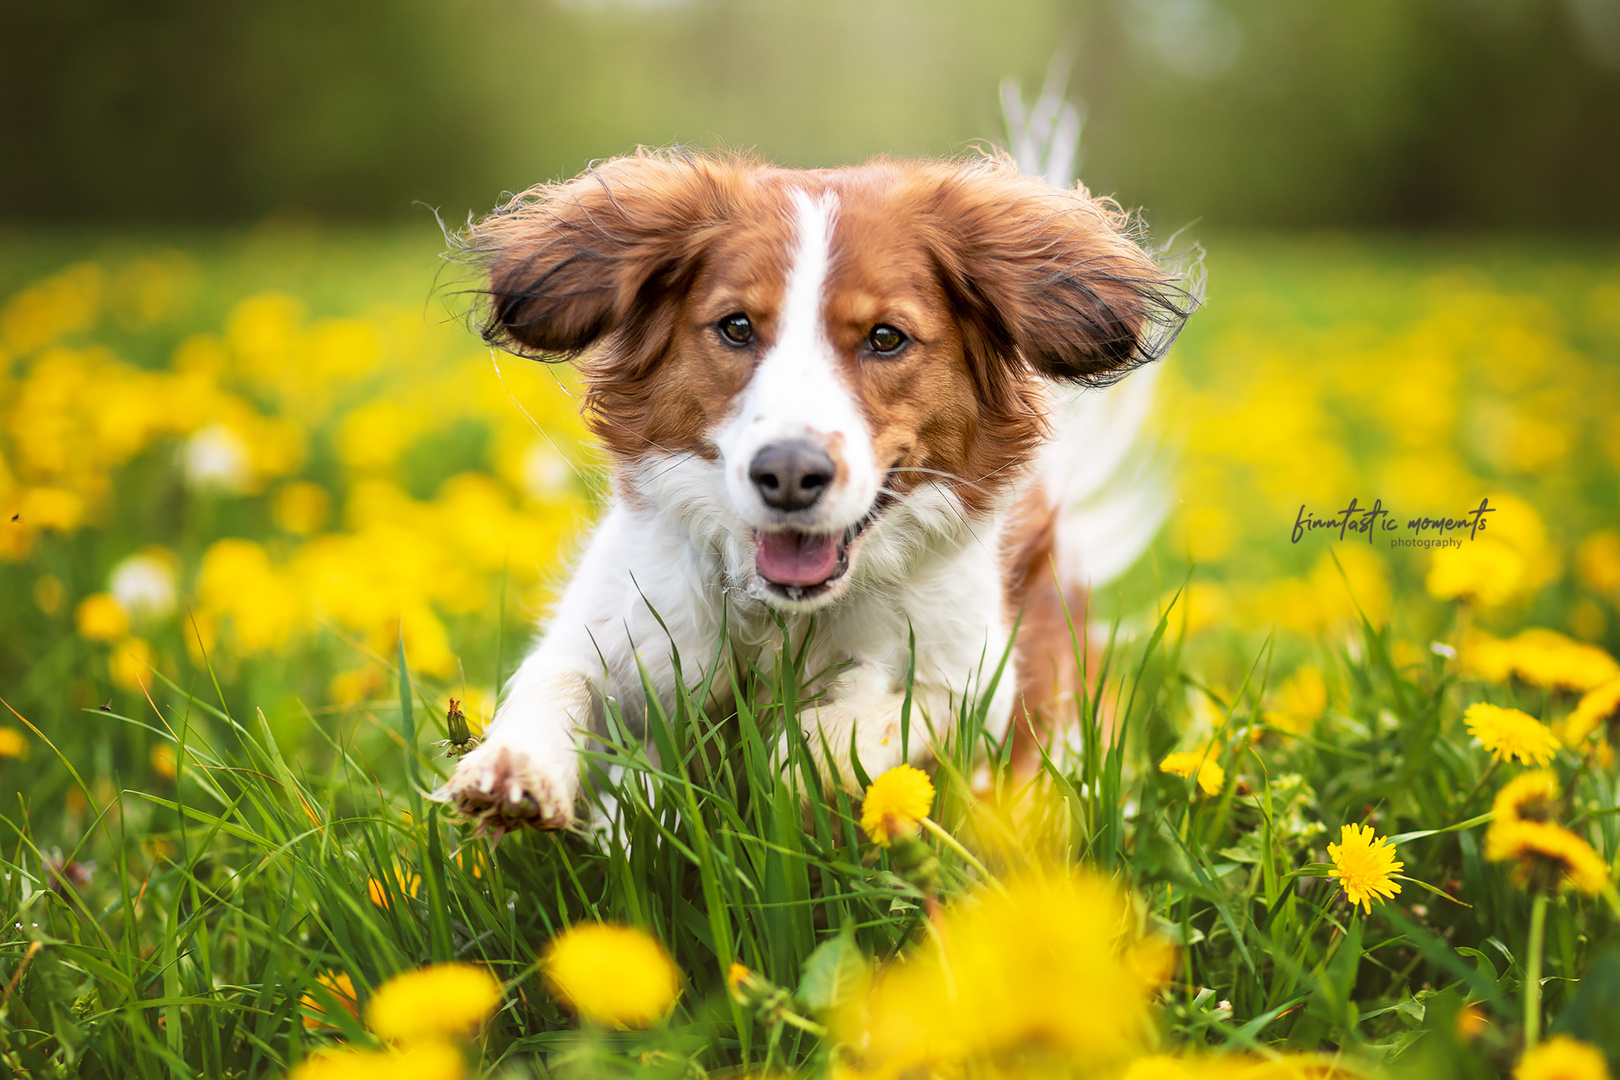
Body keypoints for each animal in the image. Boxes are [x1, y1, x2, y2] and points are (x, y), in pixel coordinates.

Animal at [437, 148, 1198, 835]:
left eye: (886, 337)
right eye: (737, 326)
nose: (789, 473)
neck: (784, 617)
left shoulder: (978, 685)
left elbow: (891, 711)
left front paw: (800, 757)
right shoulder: (624, 625)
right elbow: (558, 676)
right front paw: (515, 766)